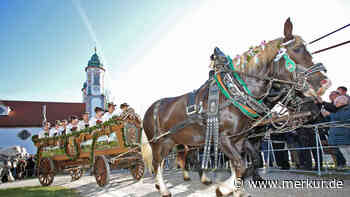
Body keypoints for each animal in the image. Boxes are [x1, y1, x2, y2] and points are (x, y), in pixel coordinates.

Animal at [140, 17, 330, 196]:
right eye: (297, 49)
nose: (324, 83)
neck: (235, 92)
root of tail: (149, 110)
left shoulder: (239, 139)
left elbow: (244, 163)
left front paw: (236, 189)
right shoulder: (224, 138)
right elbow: (240, 164)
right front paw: (225, 189)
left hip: (178, 141)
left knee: (179, 159)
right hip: (159, 143)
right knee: (157, 164)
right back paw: (163, 188)